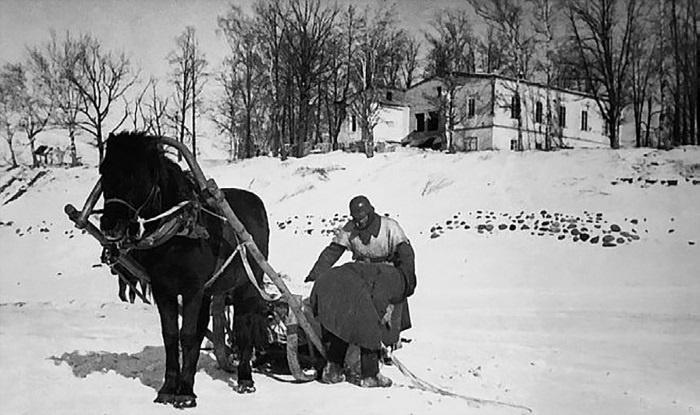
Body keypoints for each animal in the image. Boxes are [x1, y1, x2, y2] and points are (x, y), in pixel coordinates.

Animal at [98, 133, 270, 410]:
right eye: (104, 171)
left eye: (135, 174)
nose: (109, 225)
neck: (179, 233)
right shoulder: (164, 291)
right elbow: (171, 336)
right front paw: (169, 389)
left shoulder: (192, 291)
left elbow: (187, 336)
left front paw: (186, 393)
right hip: (212, 291)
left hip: (248, 285)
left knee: (246, 326)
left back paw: (245, 378)